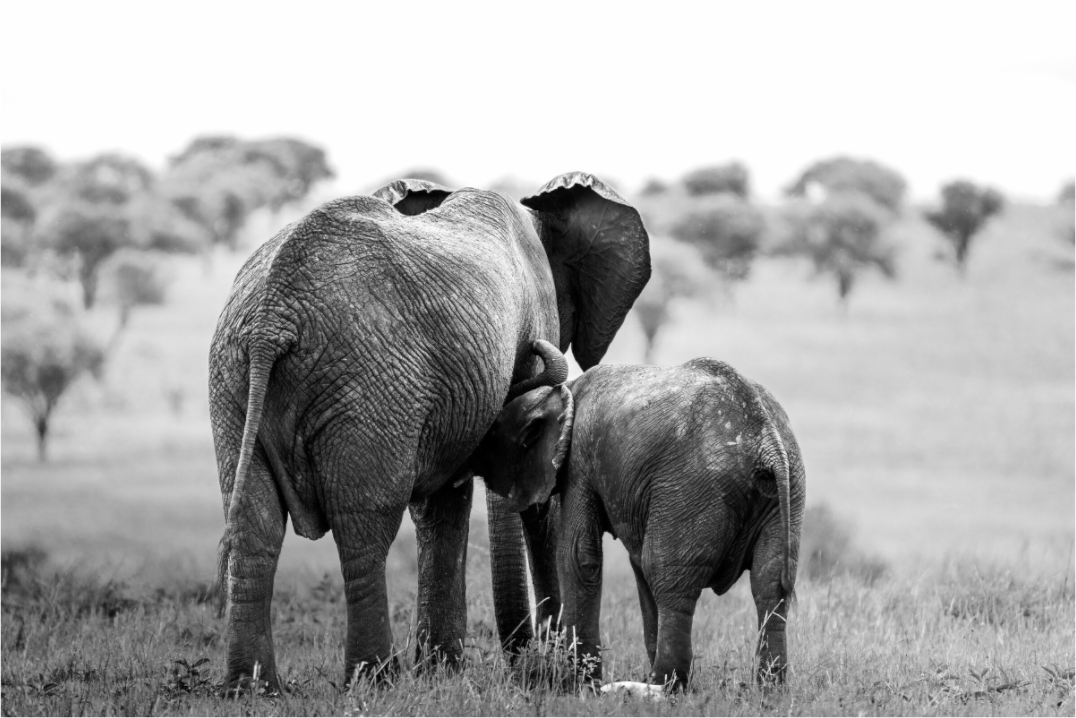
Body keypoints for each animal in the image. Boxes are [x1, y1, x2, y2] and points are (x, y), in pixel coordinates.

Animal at [208, 172, 650, 692]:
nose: (531, 661)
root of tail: (272, 317)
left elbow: (443, 507)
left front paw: (443, 672)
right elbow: (528, 504)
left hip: (232, 377)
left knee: (254, 524)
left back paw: (253, 688)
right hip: (366, 382)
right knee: (364, 524)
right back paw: (374, 679)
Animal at [473, 358, 806, 688]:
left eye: (492, 434)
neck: (563, 391)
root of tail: (767, 441)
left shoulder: (579, 461)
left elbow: (578, 555)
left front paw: (580, 686)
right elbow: (636, 568)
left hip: (693, 487)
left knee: (669, 578)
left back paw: (663, 686)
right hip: (786, 491)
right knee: (769, 586)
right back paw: (769, 690)